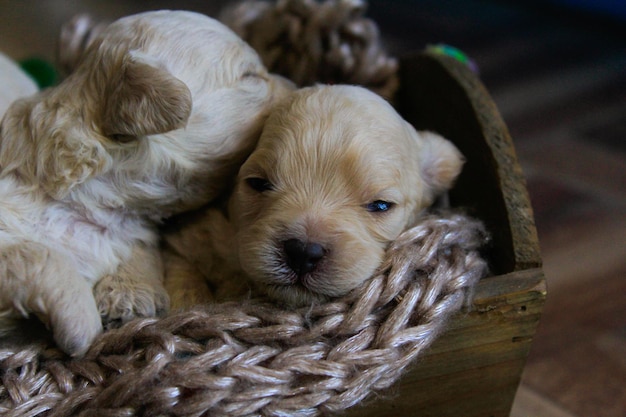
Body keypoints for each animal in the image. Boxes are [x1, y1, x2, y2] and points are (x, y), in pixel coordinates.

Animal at [0, 9, 292, 354]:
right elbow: (39, 254)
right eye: (251, 76)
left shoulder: (133, 231)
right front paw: (82, 323)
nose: (299, 85)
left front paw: (131, 295)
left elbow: (140, 249)